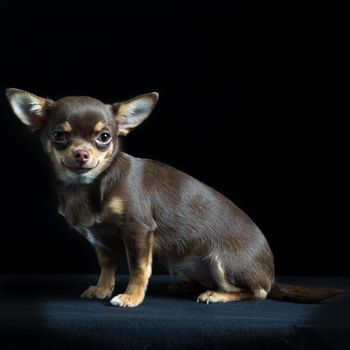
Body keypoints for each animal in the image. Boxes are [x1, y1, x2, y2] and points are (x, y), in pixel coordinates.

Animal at [4, 88, 340, 306]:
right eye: (59, 136)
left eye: (104, 137)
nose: (82, 154)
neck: (86, 186)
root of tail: (270, 275)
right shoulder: (100, 240)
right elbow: (107, 267)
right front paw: (102, 289)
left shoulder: (139, 231)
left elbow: (139, 268)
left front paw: (131, 296)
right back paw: (186, 286)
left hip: (221, 260)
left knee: (258, 292)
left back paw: (217, 294)